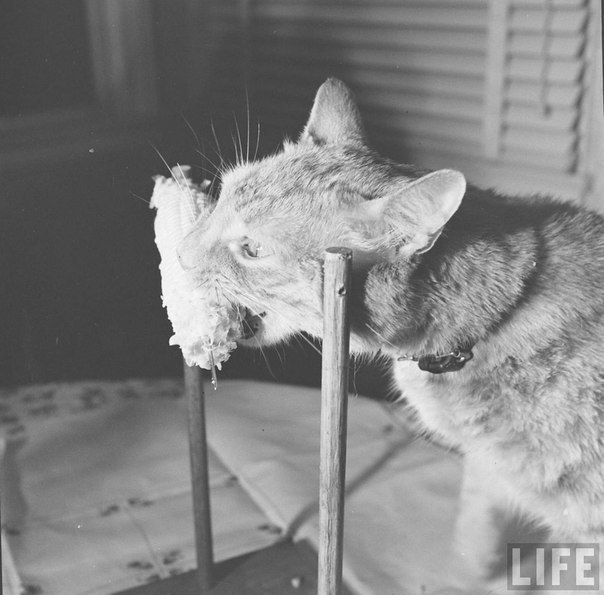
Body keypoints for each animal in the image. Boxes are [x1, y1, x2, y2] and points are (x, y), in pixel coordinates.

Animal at [178, 78, 604, 592]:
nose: (180, 252)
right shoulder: (486, 473)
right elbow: (473, 539)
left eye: (253, 250)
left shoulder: (584, 524)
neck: (497, 317)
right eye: (221, 195)